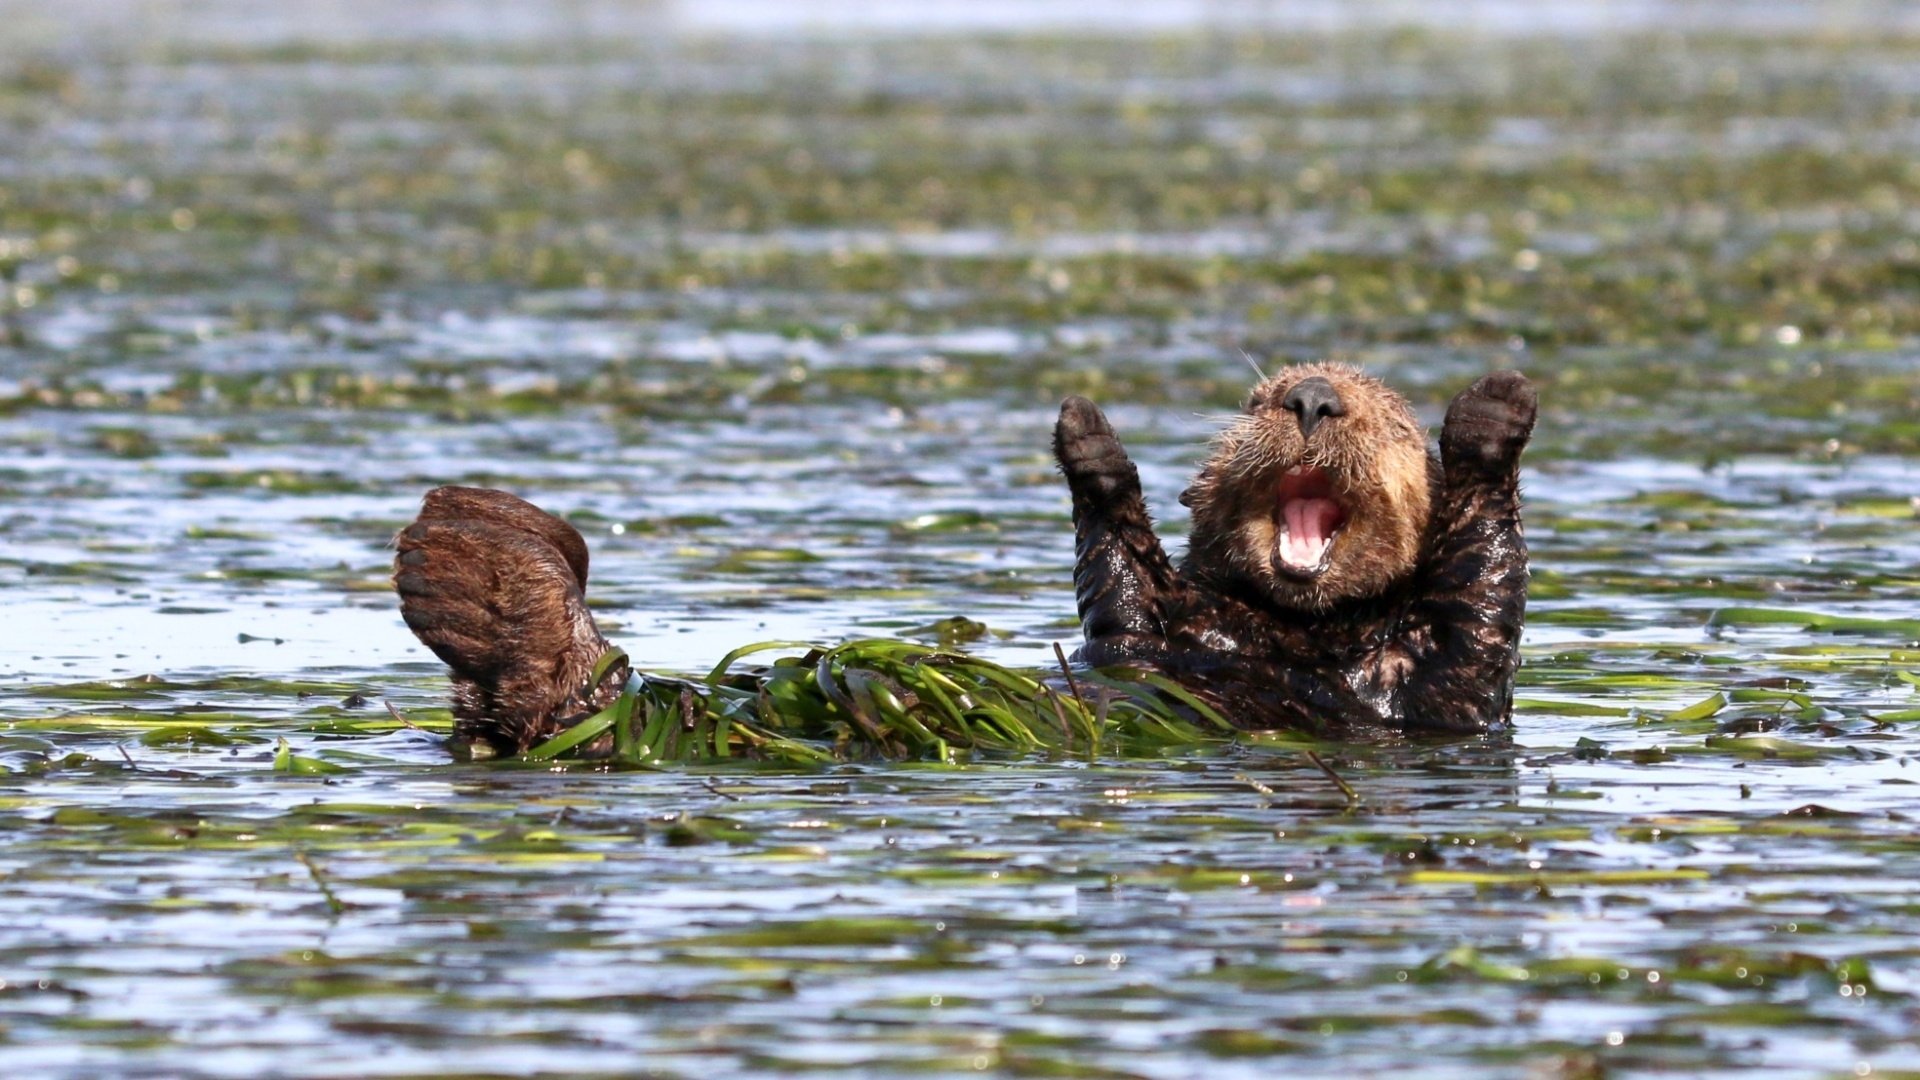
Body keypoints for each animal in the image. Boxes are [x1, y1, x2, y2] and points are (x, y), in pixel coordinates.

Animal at [1059, 363, 1536, 730]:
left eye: (1393, 423)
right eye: (1257, 401)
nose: (1312, 397)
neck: (1299, 628)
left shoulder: (1436, 681)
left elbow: (1479, 600)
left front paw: (1496, 404)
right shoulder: (1147, 625)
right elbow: (1124, 585)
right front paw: (1087, 431)